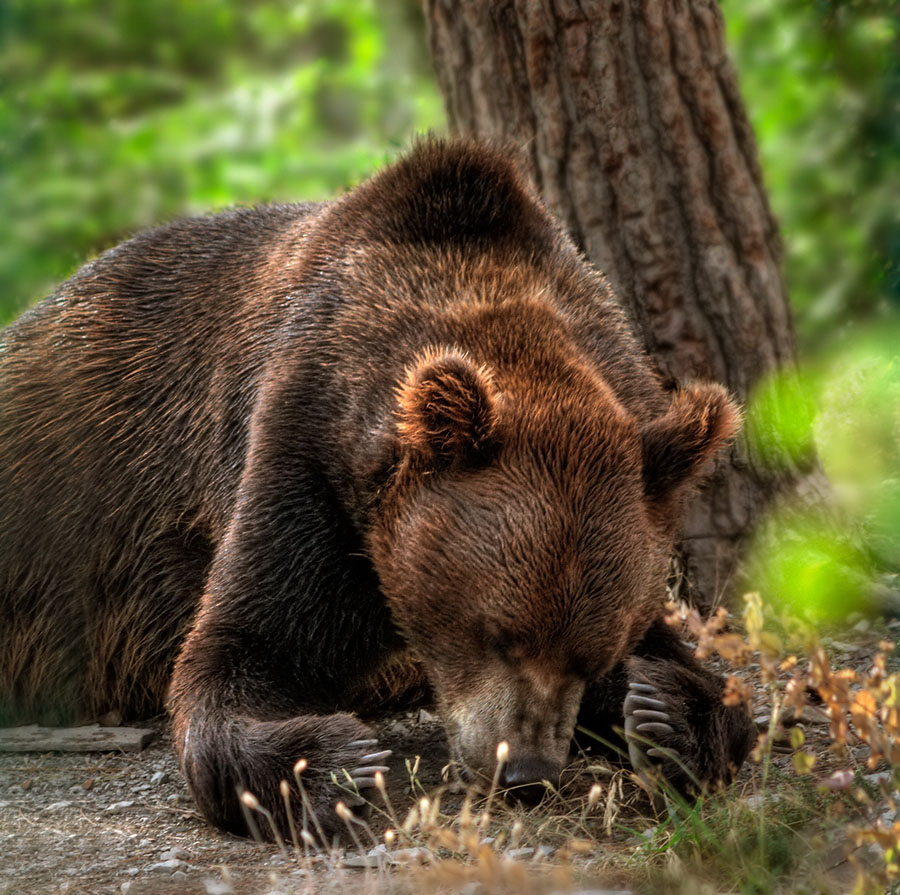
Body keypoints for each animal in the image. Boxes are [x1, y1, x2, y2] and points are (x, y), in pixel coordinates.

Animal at [0, 136, 756, 836]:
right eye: (496, 632)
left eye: (593, 650)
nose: (526, 769)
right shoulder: (298, 455)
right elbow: (239, 648)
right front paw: (332, 765)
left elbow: (698, 678)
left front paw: (665, 713)